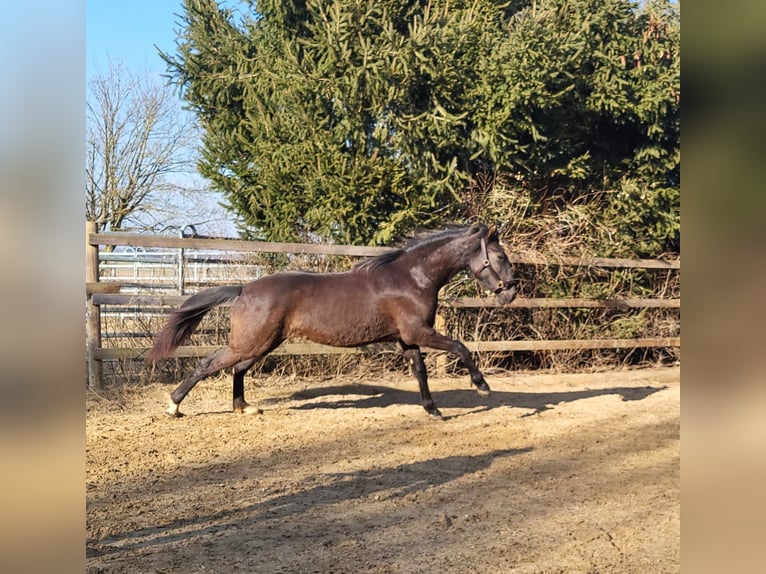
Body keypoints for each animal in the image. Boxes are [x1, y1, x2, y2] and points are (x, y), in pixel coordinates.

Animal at [147, 224, 520, 418]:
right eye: (500, 256)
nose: (512, 292)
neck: (412, 277)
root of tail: (243, 288)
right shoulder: (420, 331)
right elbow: (460, 348)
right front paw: (482, 386)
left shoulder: (408, 337)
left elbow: (420, 372)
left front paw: (433, 410)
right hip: (251, 342)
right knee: (209, 364)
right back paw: (173, 406)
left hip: (264, 343)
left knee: (237, 368)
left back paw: (244, 408)